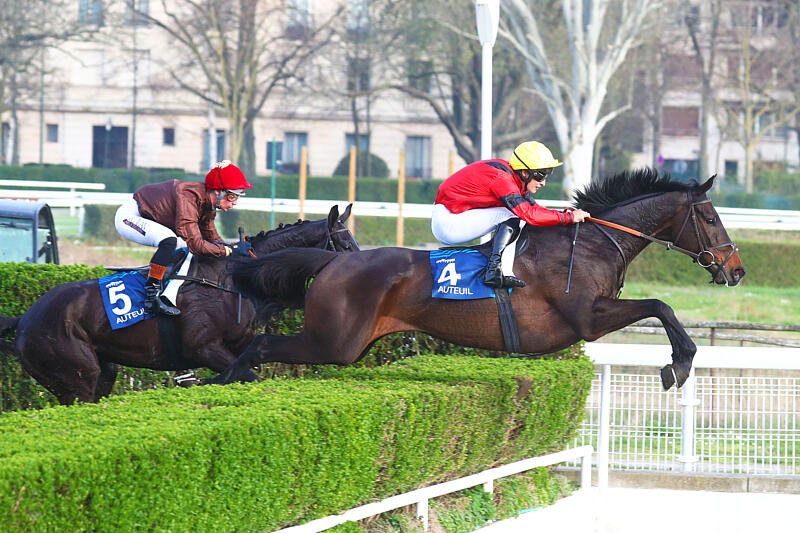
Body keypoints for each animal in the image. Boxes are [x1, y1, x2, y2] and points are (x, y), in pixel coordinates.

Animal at [0, 205, 359, 404]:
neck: (233, 281)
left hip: (102, 372)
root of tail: (24, 318)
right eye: (344, 243)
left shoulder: (237, 351)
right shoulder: (206, 348)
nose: (362, 271)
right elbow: (249, 379)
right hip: (75, 377)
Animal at [209, 169, 745, 390]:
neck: (592, 243)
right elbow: (660, 306)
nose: (736, 269)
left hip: (347, 345)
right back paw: (227, 380)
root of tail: (331, 263)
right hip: (334, 342)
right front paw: (678, 364)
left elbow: (659, 307)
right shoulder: (587, 319)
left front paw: (680, 362)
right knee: (262, 345)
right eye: (711, 218)